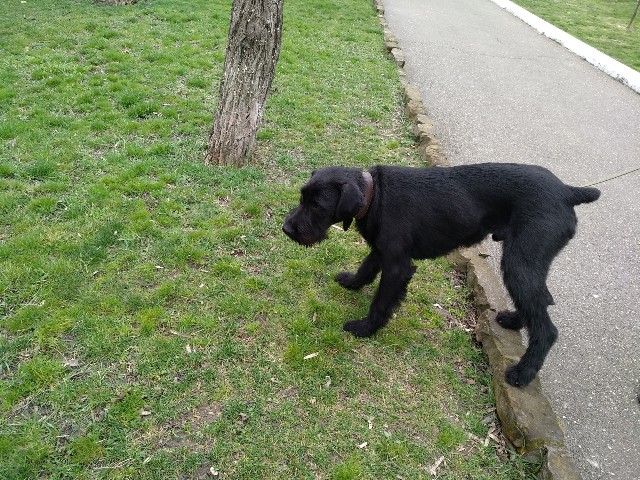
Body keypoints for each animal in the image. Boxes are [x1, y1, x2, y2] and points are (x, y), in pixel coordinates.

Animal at [283, 163, 600, 387]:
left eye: (318, 205)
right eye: (302, 197)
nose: (287, 229)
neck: (375, 196)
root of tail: (566, 191)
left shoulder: (398, 266)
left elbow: (381, 302)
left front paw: (366, 328)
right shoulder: (382, 251)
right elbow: (367, 267)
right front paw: (352, 282)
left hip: (519, 263)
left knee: (546, 326)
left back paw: (523, 372)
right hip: (527, 263)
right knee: (540, 300)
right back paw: (513, 320)